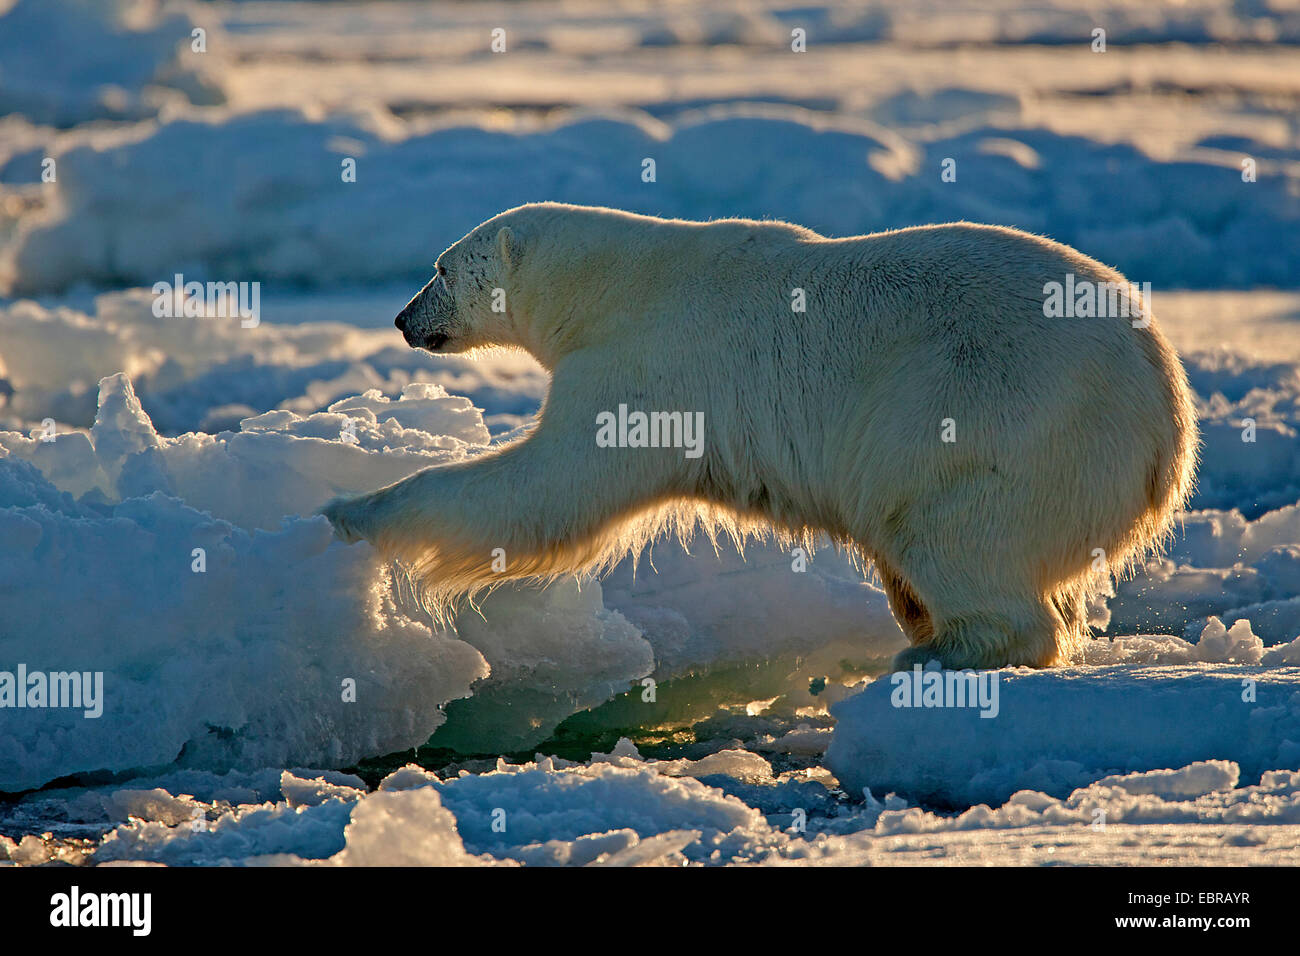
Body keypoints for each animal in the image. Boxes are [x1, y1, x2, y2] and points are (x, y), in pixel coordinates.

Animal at [325, 204, 1196, 665]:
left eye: (440, 268)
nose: (402, 319)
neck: (613, 285)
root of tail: (1169, 428)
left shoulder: (643, 366)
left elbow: (541, 491)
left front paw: (350, 511)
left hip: (1001, 412)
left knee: (947, 527)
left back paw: (936, 646)